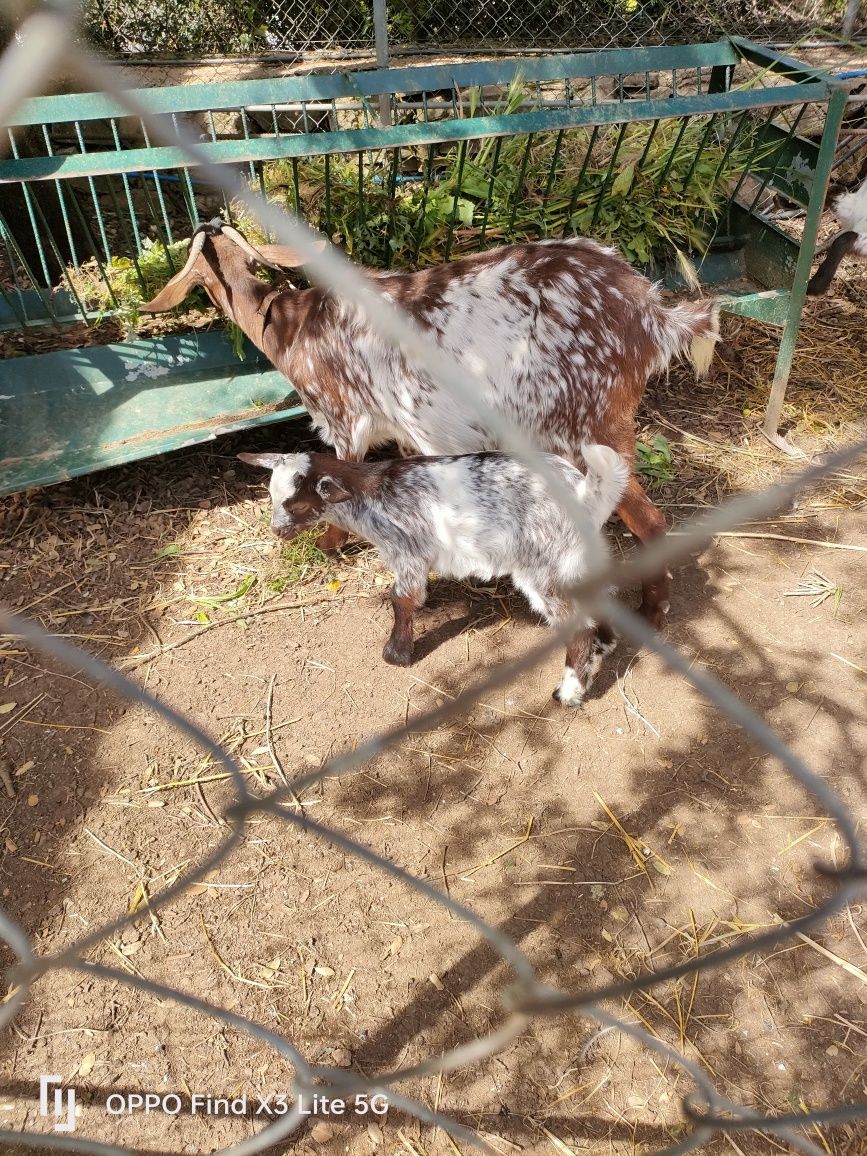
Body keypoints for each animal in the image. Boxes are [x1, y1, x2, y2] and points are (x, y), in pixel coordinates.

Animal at [144, 219, 721, 628]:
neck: (289, 323)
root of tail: (653, 316)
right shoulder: (407, 429)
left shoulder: (343, 417)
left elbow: (337, 475)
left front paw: (328, 545)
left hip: (586, 423)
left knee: (649, 519)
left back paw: (650, 614)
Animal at [241, 446, 628, 707]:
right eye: (271, 497)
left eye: (297, 505)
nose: (278, 531)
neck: (368, 493)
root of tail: (584, 491)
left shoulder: (407, 551)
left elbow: (400, 597)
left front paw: (396, 653)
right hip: (577, 560)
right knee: (602, 599)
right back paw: (603, 649)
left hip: (543, 566)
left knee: (577, 626)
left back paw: (568, 693)